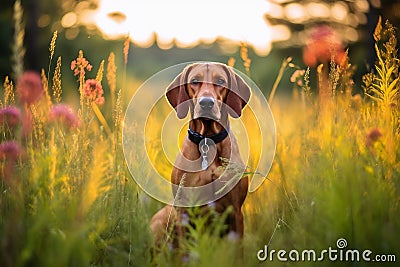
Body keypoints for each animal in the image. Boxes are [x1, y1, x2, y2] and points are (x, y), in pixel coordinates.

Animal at [150, 62, 250, 247]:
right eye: (195, 81)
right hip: (162, 220)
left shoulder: (236, 213)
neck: (208, 141)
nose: (206, 103)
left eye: (220, 81)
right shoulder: (183, 211)